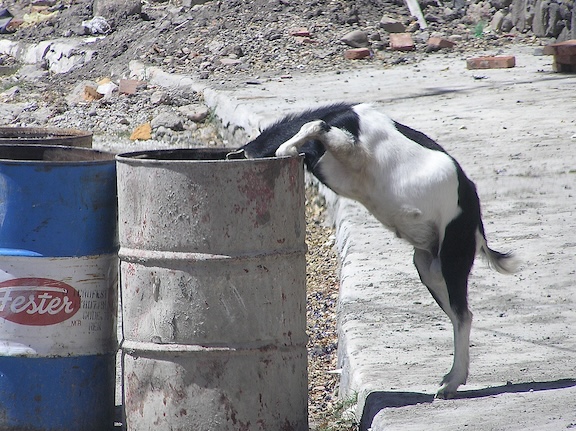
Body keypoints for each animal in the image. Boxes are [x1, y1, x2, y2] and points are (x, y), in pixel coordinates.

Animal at [229, 102, 518, 398]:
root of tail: (475, 214)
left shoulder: (351, 150)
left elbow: (315, 126)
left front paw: (286, 148)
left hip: (453, 256)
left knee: (463, 315)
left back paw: (451, 383)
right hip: (429, 267)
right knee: (457, 313)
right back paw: (450, 378)